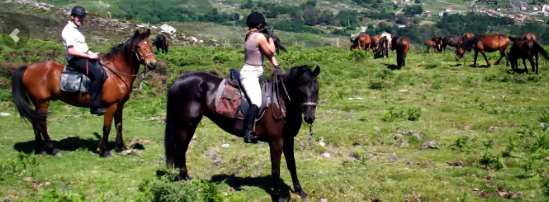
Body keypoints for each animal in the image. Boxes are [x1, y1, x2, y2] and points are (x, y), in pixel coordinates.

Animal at [11, 28, 156, 158]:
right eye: (138, 46)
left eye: (150, 45)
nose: (152, 64)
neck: (116, 73)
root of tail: (28, 68)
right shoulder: (110, 106)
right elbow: (107, 127)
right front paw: (104, 151)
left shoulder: (119, 105)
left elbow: (119, 125)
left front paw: (121, 148)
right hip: (42, 102)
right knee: (41, 124)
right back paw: (52, 149)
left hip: (38, 103)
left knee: (36, 123)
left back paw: (40, 149)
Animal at [165, 65, 322, 201]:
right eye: (300, 89)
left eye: (316, 89)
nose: (310, 117)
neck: (280, 102)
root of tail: (176, 83)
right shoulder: (276, 141)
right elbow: (276, 169)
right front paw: (278, 196)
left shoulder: (289, 139)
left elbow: (292, 165)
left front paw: (300, 191)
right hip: (184, 126)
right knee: (178, 149)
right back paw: (180, 180)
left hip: (191, 125)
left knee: (183, 149)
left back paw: (186, 177)